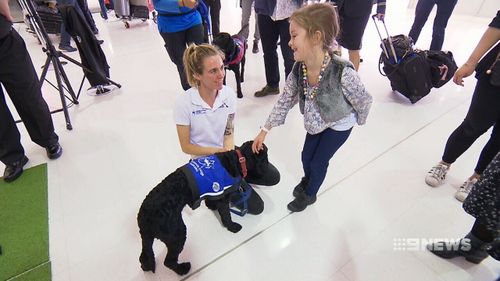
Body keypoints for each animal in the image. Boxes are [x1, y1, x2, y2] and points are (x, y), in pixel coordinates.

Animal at [137, 140, 274, 274]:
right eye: (266, 159)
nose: (270, 173)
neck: (237, 160)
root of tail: (143, 219)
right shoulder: (224, 198)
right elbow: (226, 216)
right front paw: (232, 227)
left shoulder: (216, 193)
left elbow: (213, 201)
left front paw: (211, 206)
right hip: (177, 233)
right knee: (168, 261)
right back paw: (183, 269)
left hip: (152, 239)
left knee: (145, 257)